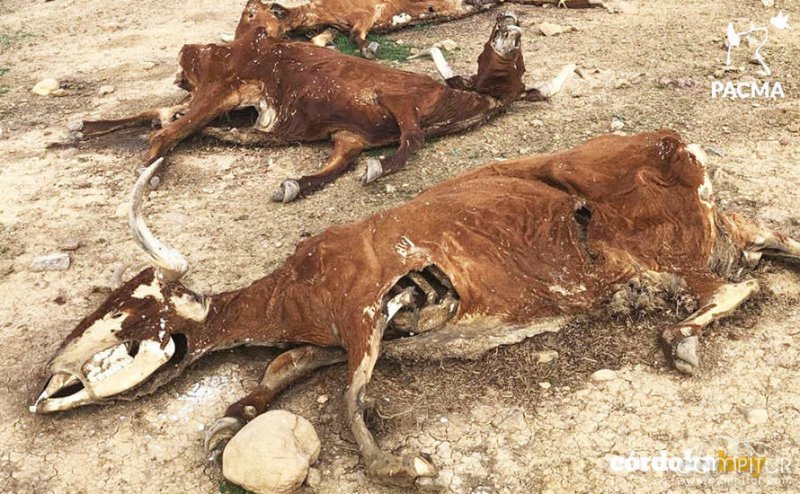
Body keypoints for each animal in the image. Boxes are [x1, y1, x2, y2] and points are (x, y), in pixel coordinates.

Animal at [31, 130, 800, 486]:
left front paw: (405, 466)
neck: (289, 289)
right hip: (720, 233)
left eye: (129, 313)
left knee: (733, 289)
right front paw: (231, 416)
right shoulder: (329, 337)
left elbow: (347, 404)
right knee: (773, 244)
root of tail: (682, 146)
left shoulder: (364, 305)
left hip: (669, 255)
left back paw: (681, 337)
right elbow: (278, 373)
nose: (45, 386)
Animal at [76, 13, 574, 203]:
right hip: (220, 89)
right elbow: (411, 141)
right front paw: (378, 169)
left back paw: (82, 127)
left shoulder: (348, 137)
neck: (450, 102)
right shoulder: (397, 99)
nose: (507, 18)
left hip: (209, 98)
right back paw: (150, 164)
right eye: (495, 53)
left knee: (163, 116)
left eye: (518, 68)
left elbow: (340, 163)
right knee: (166, 132)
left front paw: (293, 184)